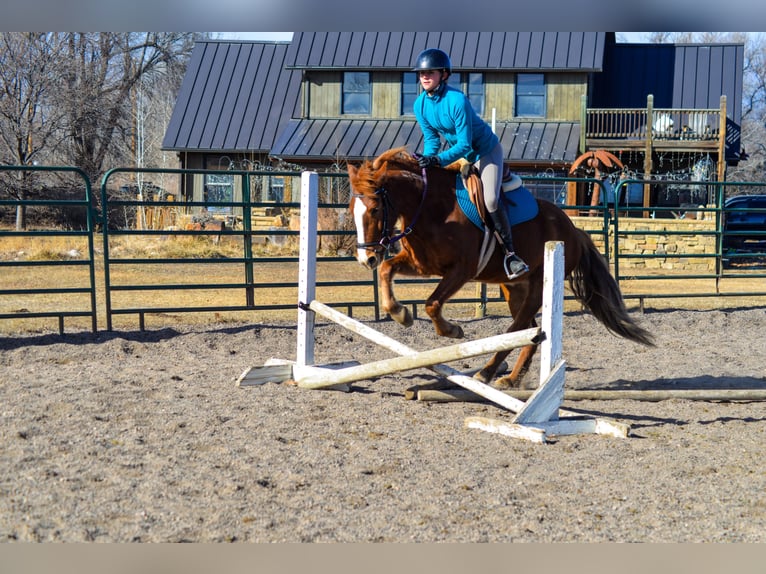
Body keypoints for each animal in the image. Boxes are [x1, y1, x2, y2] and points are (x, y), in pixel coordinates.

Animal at [347, 147, 654, 389]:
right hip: (514, 289)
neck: (430, 207)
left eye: (375, 209)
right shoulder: (422, 264)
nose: (365, 259)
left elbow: (432, 304)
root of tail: (574, 231)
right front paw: (400, 314)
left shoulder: (461, 270)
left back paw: (486, 373)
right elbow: (386, 270)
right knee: (531, 332)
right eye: (351, 210)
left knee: (519, 330)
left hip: (537, 286)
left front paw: (453, 331)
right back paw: (511, 378)